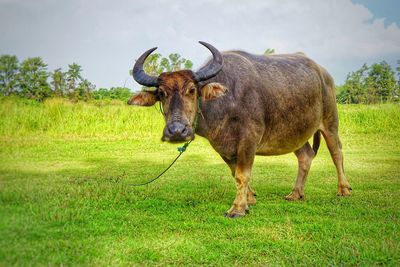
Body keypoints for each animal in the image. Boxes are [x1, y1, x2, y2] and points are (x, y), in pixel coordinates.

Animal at [130, 41, 352, 218]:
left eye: (192, 90)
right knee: (305, 156)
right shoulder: (223, 146)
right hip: (295, 133)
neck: (225, 102)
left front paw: (237, 208)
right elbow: (234, 172)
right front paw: (249, 199)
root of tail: (324, 73)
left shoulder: (249, 139)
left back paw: (344, 189)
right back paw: (296, 193)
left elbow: (242, 174)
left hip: (330, 122)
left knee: (336, 152)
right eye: (161, 93)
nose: (177, 131)